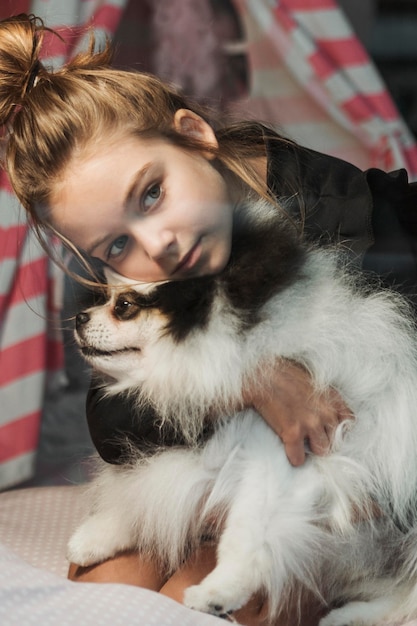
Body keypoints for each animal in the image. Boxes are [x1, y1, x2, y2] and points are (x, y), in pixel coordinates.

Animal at [67, 199, 417, 624]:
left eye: (124, 306)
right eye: (105, 297)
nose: (79, 317)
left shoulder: (280, 463)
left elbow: (246, 534)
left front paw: (219, 591)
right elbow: (149, 496)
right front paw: (94, 535)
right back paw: (346, 615)